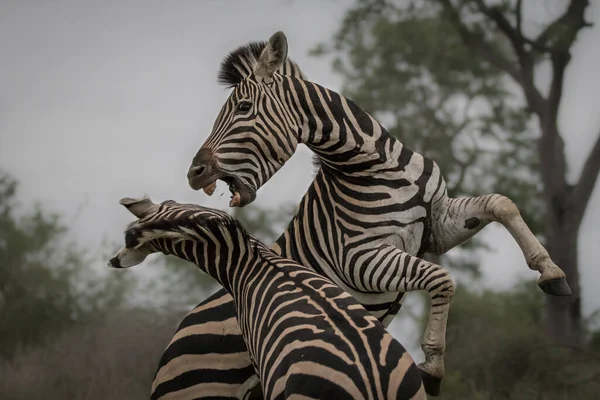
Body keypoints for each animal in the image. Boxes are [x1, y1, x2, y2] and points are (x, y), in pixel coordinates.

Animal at [152, 32, 568, 400]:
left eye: (242, 109)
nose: (194, 173)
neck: (375, 165)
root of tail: (172, 341)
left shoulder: (437, 226)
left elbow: (502, 203)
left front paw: (552, 273)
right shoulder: (358, 259)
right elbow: (442, 278)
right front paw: (432, 369)